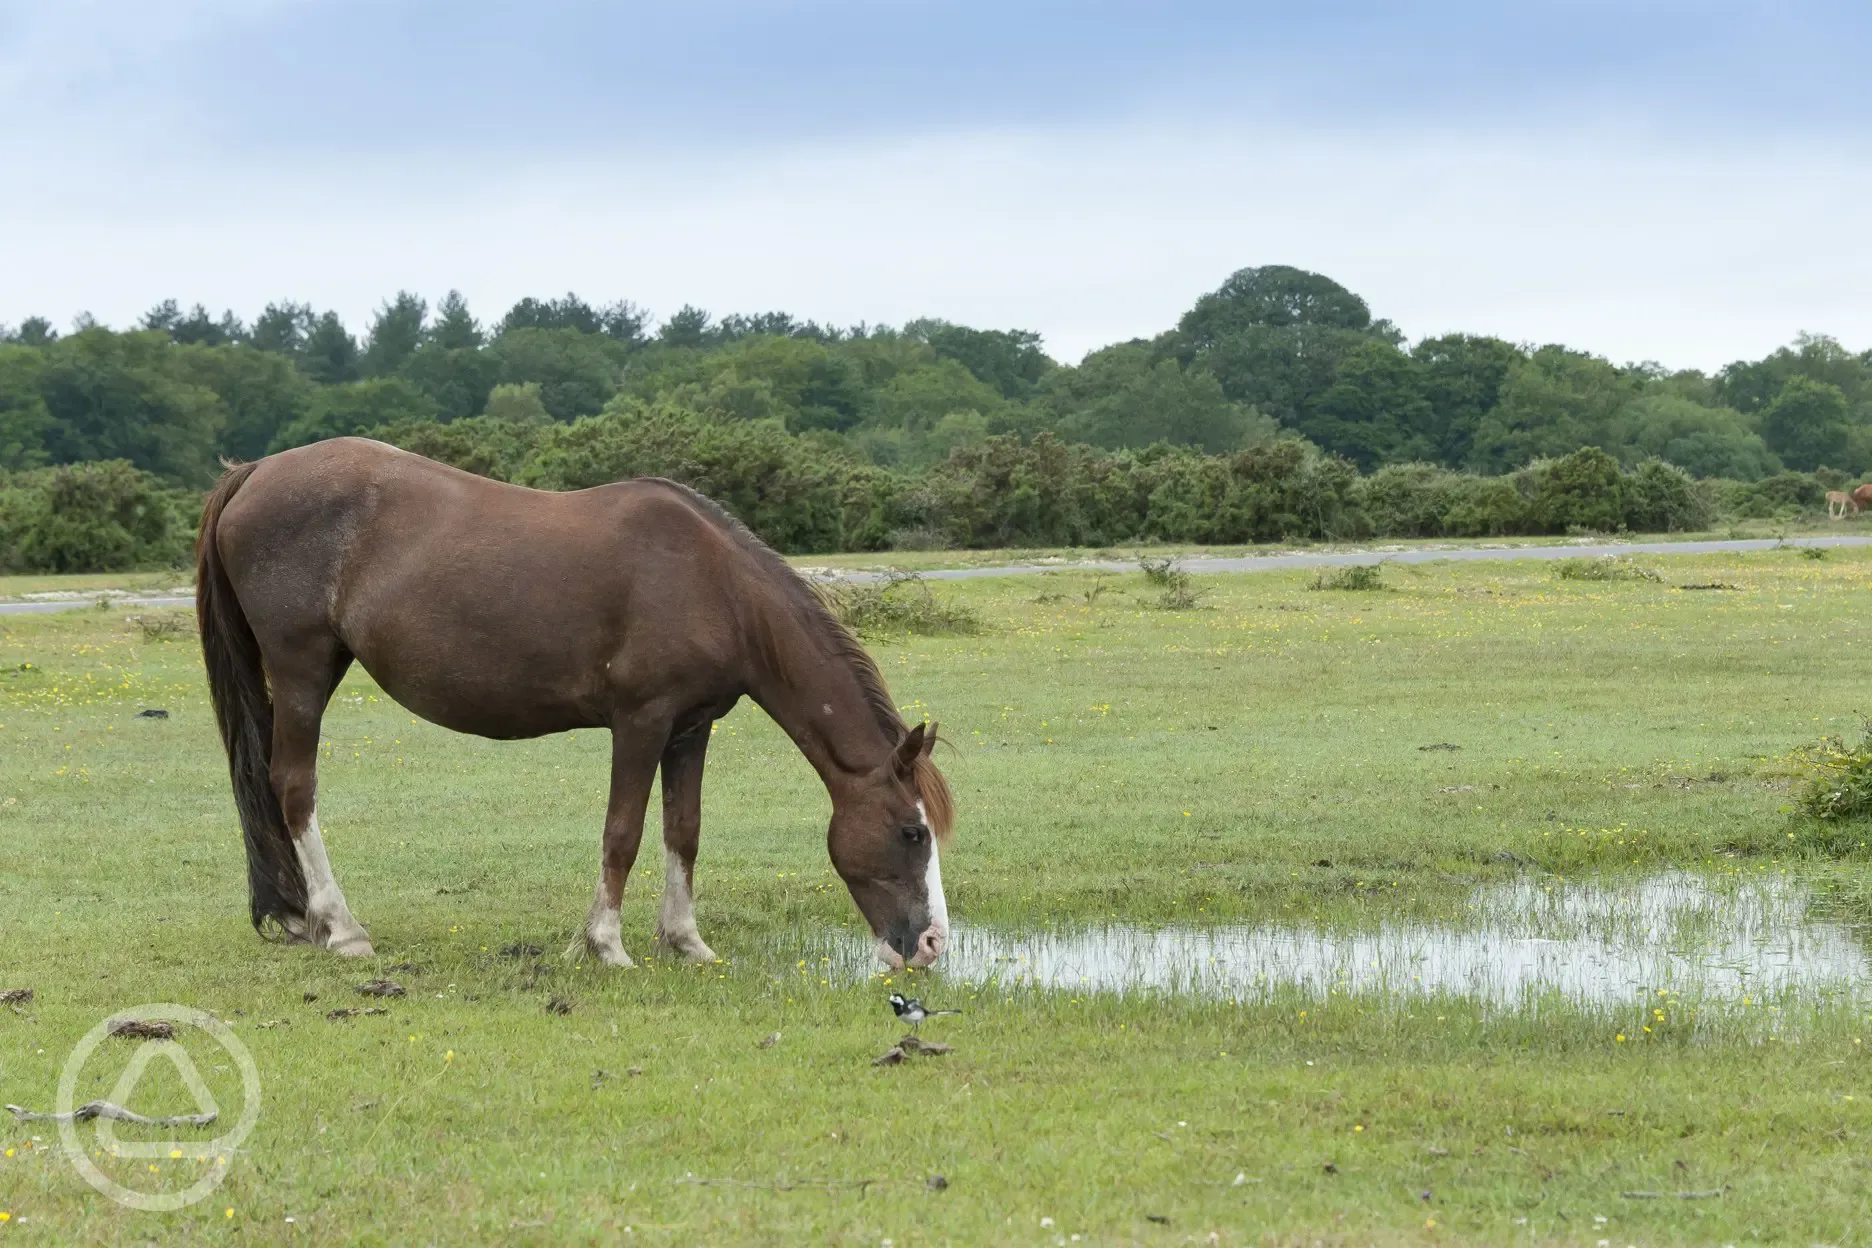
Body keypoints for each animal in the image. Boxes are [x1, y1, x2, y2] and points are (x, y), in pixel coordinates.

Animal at [197, 439, 958, 972]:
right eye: (911, 833)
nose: (930, 944)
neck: (713, 585)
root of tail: (256, 471)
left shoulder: (691, 729)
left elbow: (684, 831)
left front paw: (686, 941)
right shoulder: (641, 722)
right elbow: (622, 832)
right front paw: (606, 945)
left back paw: (301, 919)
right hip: (302, 670)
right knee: (294, 788)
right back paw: (342, 929)